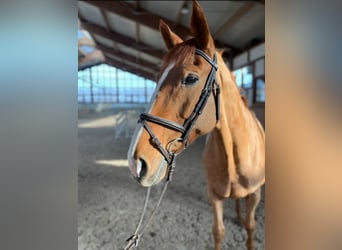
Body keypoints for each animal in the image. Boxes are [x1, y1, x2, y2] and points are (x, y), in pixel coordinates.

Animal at [127, 0, 264, 249]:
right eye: (157, 78)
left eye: (190, 78)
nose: (135, 163)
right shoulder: (214, 195)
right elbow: (218, 232)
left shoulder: (255, 194)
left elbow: (250, 227)